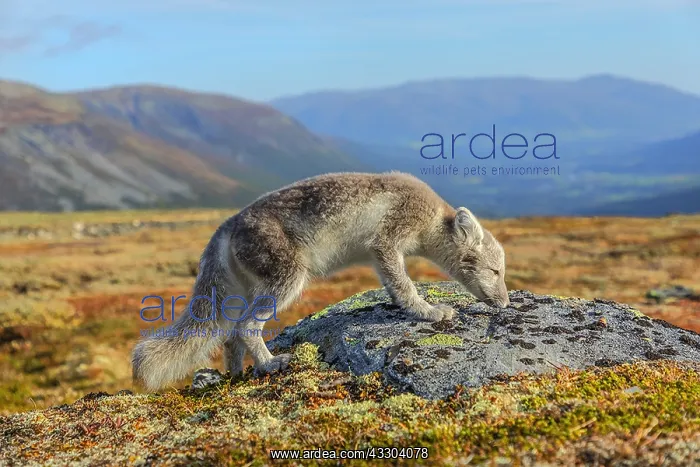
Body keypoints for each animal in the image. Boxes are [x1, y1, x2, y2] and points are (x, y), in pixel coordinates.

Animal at [132, 171, 510, 390]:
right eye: (495, 272)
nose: (506, 303)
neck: (431, 219)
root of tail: (225, 226)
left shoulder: (379, 254)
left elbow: (394, 284)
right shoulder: (387, 242)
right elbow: (404, 285)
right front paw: (427, 311)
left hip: (249, 291)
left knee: (229, 338)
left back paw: (236, 375)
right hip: (287, 280)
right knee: (245, 327)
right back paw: (270, 363)